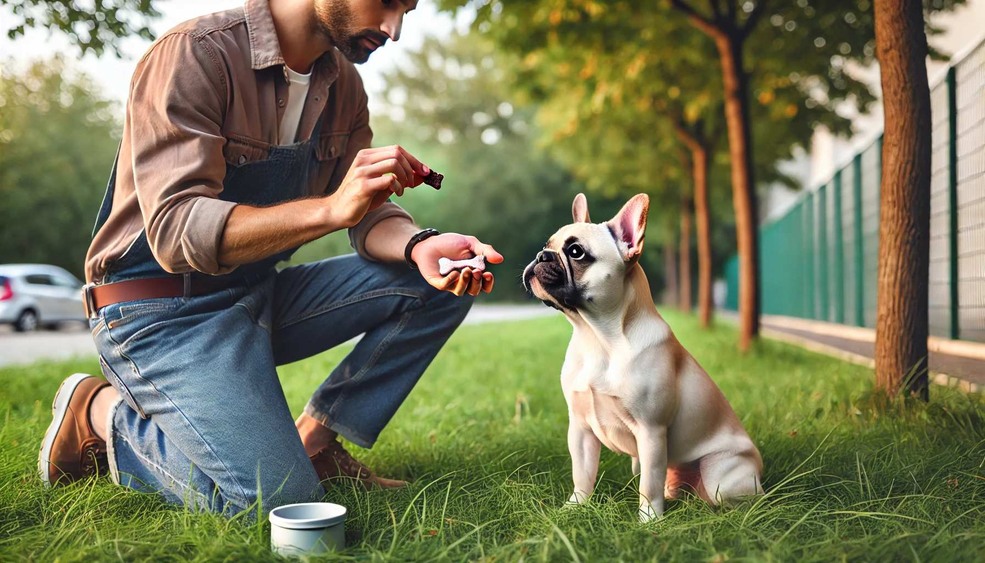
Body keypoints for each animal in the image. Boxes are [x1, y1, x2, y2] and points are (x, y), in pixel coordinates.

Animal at [524, 193, 760, 520]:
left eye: (575, 252)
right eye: (548, 244)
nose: (541, 255)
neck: (597, 338)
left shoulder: (651, 431)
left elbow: (648, 483)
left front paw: (649, 521)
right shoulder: (580, 429)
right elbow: (582, 473)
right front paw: (574, 507)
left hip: (720, 476)